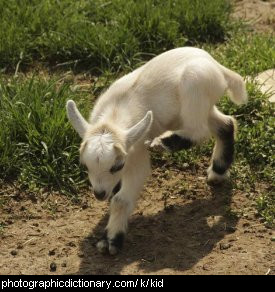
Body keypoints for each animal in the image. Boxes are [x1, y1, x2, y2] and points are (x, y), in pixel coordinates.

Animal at [66, 46, 248, 254]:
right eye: (85, 166)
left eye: (117, 166)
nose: (99, 194)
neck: (114, 114)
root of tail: (219, 67)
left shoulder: (136, 156)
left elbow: (120, 200)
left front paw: (111, 240)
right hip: (200, 106)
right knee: (225, 124)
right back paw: (218, 171)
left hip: (194, 87)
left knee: (199, 130)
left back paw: (164, 143)